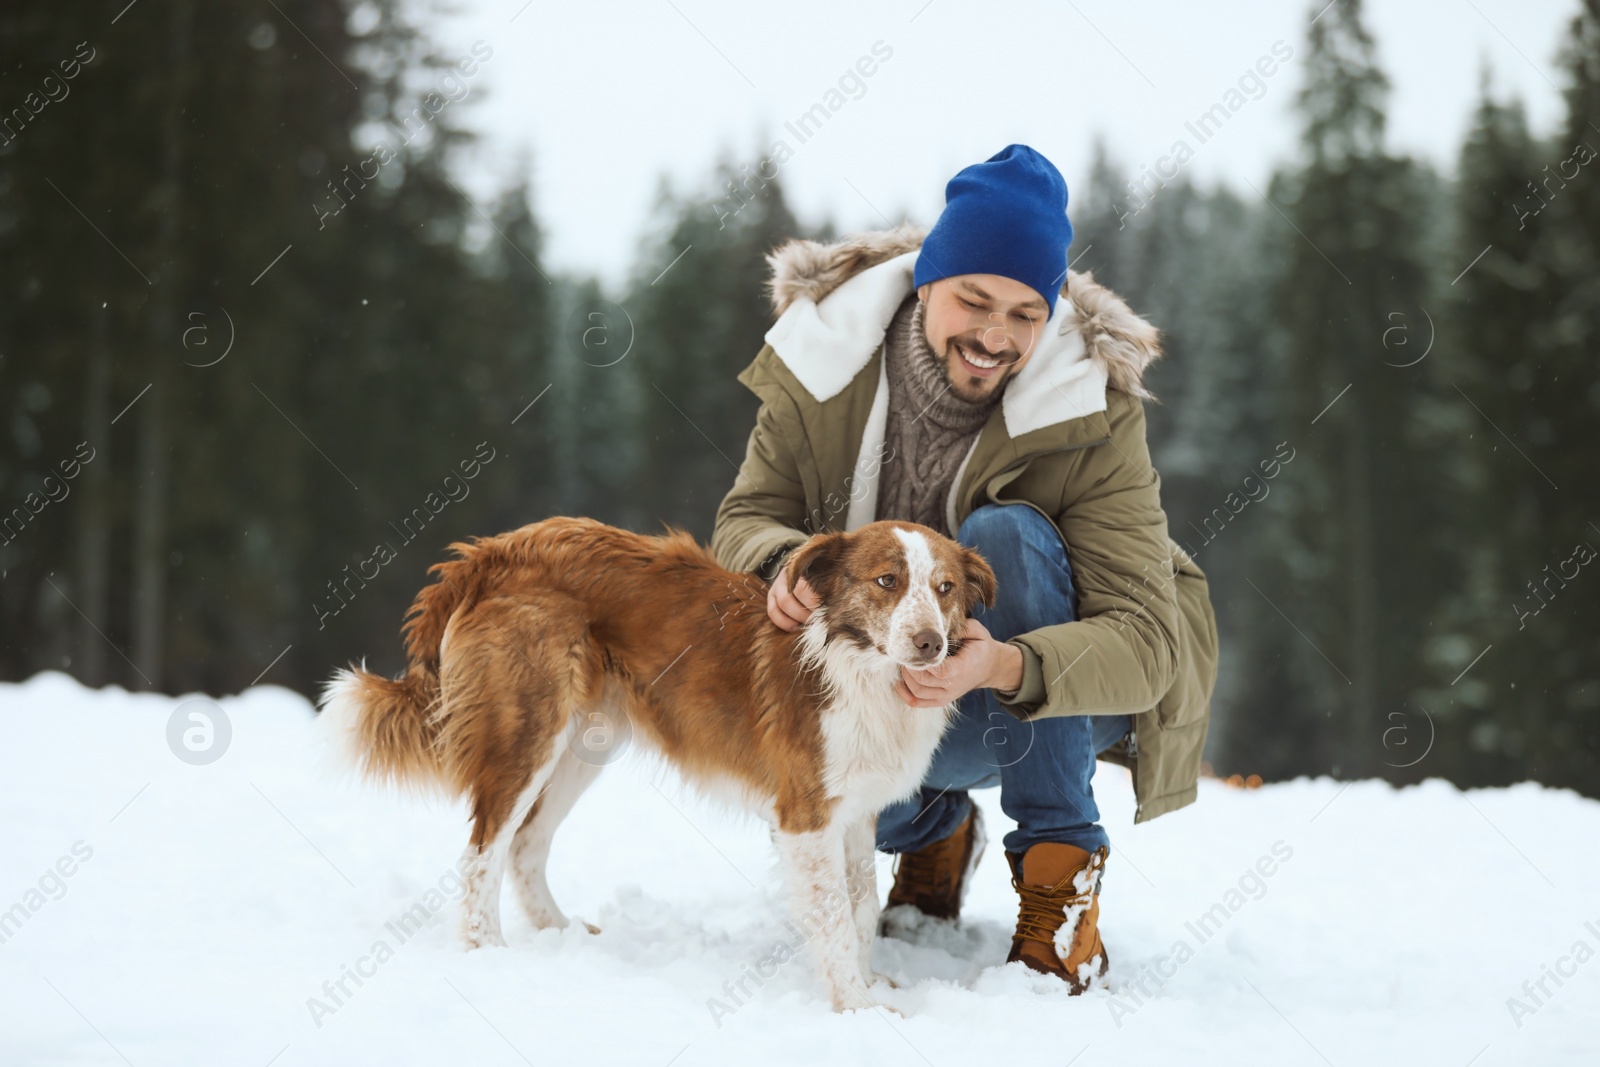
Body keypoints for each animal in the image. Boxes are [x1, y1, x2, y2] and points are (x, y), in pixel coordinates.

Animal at [318, 518, 992, 1011]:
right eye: (887, 581)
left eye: (944, 589)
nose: (930, 644)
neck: (862, 668)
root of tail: (494, 550)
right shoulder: (806, 818)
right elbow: (832, 917)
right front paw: (859, 1008)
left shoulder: (855, 814)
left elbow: (862, 907)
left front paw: (868, 983)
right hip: (528, 733)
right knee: (483, 848)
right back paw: (489, 952)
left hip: (582, 744)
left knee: (525, 844)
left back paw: (559, 935)